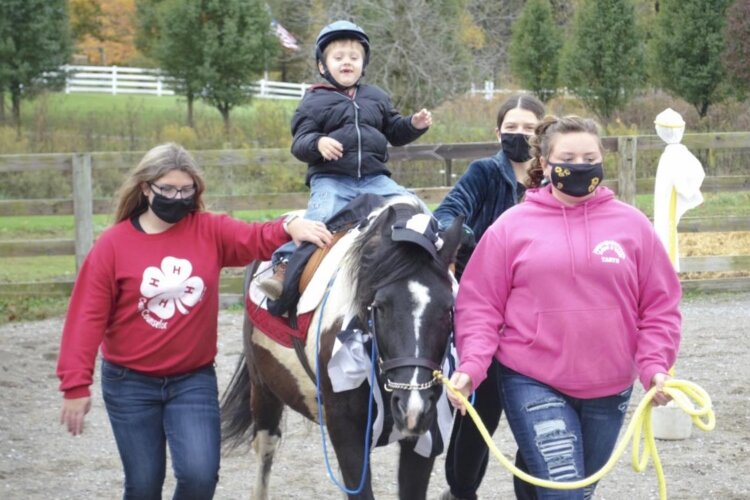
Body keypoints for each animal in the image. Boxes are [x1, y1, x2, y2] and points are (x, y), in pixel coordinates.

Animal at [220, 197, 464, 498]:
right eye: (380, 307)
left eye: (447, 309)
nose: (412, 405)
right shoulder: (346, 433)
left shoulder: (425, 435)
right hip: (263, 388)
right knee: (265, 447)